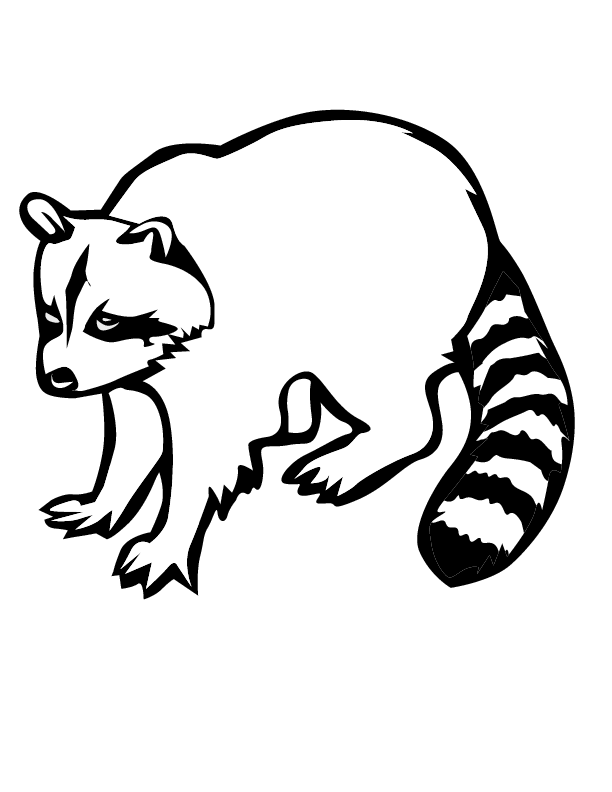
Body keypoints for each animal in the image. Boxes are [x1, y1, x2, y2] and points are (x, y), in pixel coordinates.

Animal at [20, 111, 574, 597]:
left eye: (107, 321)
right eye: (51, 316)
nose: (58, 379)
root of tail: (481, 213)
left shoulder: (216, 356)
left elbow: (202, 453)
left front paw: (169, 538)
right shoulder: (127, 368)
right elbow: (133, 431)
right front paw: (107, 499)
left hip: (385, 308)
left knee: (387, 395)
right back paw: (293, 426)